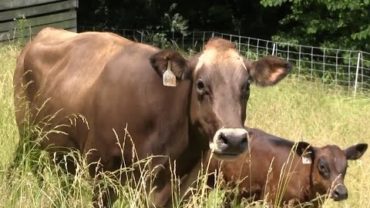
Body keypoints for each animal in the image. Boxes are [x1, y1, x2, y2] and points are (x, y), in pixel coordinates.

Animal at [13, 27, 292, 206]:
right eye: (201, 84)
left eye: (246, 86)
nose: (233, 139)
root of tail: (44, 33)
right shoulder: (101, 169)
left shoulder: (181, 185)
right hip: (29, 138)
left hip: (62, 153)